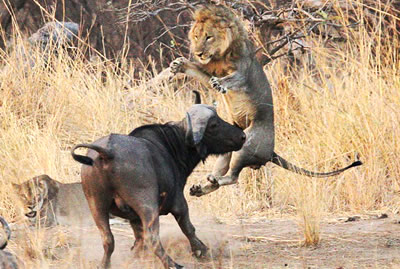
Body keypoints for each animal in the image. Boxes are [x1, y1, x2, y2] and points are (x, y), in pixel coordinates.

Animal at [170, 3, 362, 195]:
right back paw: (201, 187)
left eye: (208, 37)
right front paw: (178, 64)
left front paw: (219, 83)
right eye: (196, 36)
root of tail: (271, 152)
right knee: (222, 175)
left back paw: (215, 179)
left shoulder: (244, 72)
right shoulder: (209, 70)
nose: (199, 53)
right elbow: (196, 70)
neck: (221, 55)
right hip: (228, 143)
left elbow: (233, 79)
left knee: (233, 177)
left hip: (247, 142)